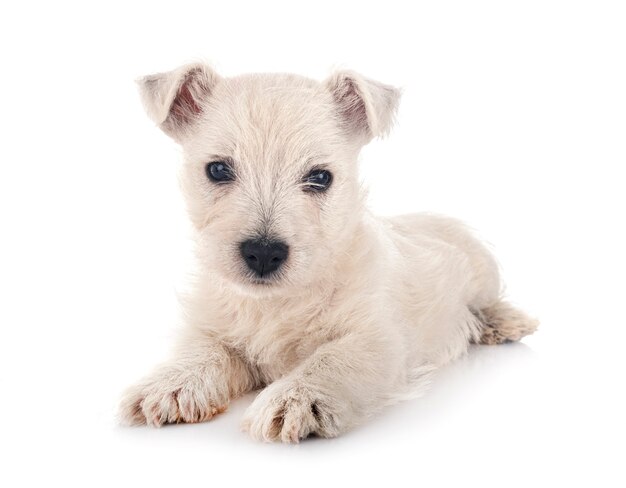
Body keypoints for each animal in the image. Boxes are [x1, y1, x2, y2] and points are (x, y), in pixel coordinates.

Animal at [120, 63, 536, 442]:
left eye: (320, 177)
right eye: (218, 169)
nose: (263, 253)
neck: (278, 302)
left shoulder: (377, 338)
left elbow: (332, 359)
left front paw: (295, 399)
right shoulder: (213, 327)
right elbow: (203, 350)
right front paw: (170, 384)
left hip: (482, 268)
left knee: (487, 300)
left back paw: (505, 321)